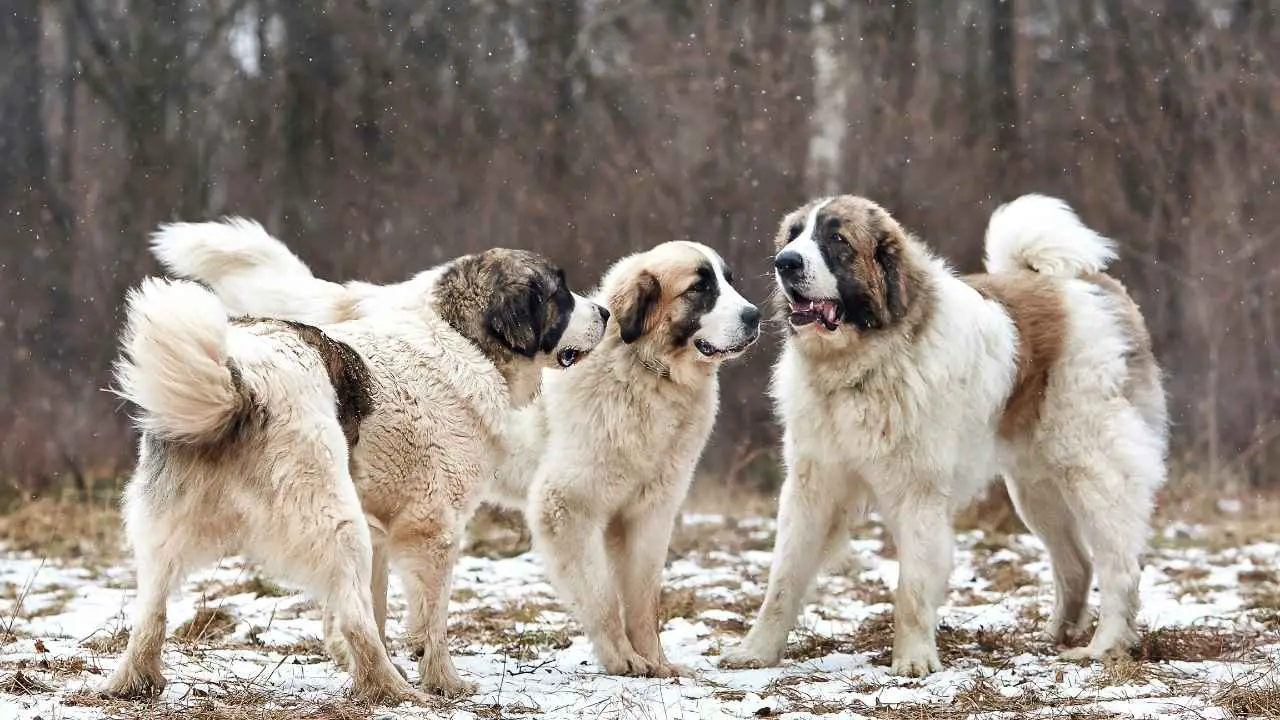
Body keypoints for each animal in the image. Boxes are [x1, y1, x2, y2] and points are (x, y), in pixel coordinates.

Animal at [107, 220, 606, 702]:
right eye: (559, 295)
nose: (603, 313)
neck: (462, 338)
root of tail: (237, 380)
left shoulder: (384, 531)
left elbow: (381, 608)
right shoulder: (432, 529)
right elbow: (430, 620)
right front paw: (444, 681)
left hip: (168, 526)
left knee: (150, 610)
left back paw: (135, 681)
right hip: (336, 520)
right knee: (354, 615)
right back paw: (392, 689)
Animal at [721, 192, 1172, 671]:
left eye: (837, 239)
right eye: (792, 235)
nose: (784, 262)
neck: (865, 364)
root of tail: (1091, 284)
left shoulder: (917, 493)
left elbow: (913, 588)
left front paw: (914, 660)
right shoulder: (813, 487)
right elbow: (784, 579)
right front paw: (756, 651)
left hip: (1092, 471)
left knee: (1120, 566)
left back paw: (1104, 647)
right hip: (1035, 490)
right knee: (1077, 565)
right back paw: (1054, 637)